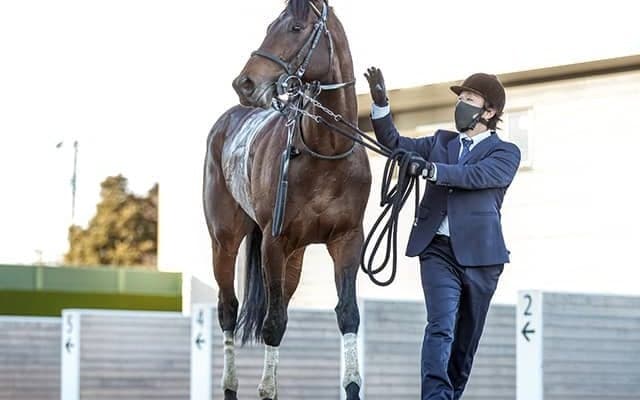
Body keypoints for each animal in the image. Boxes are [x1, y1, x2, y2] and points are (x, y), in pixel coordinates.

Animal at [202, 1, 371, 399]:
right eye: (269, 26)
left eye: (296, 27)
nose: (244, 83)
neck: (327, 151)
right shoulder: (274, 242)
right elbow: (272, 322)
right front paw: (266, 389)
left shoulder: (347, 240)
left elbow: (347, 314)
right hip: (224, 241)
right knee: (228, 308)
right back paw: (230, 386)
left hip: (295, 255)